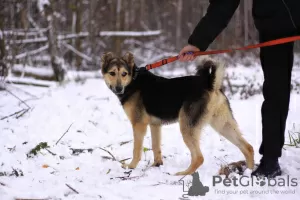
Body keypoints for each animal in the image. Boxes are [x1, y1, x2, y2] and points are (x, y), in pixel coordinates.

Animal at [101, 51, 253, 175]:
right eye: (112, 73)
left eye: (124, 74)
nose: (119, 88)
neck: (133, 80)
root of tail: (210, 84)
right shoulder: (155, 125)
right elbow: (156, 147)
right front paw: (157, 165)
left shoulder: (139, 125)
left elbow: (136, 150)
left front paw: (131, 166)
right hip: (223, 125)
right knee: (248, 147)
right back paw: (250, 172)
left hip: (187, 127)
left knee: (199, 158)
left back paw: (183, 174)